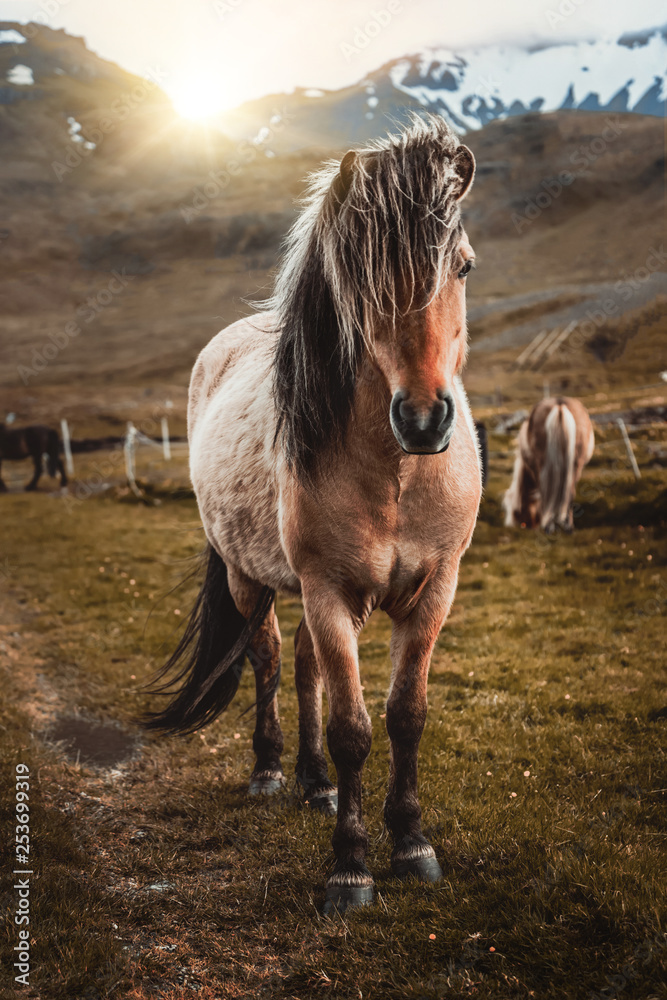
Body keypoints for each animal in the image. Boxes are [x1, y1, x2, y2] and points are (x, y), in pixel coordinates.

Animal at [145, 113, 486, 912]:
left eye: (462, 267)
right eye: (362, 277)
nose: (423, 418)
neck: (396, 475)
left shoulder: (435, 592)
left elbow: (404, 715)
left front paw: (411, 842)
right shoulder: (330, 593)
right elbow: (353, 727)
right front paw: (351, 867)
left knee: (302, 666)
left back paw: (314, 783)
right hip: (251, 578)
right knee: (271, 660)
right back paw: (272, 772)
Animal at [504, 398, 596, 536]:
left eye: (515, 512)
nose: (510, 525)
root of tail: (560, 405)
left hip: (543, 467)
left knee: (546, 493)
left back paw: (549, 526)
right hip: (575, 466)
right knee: (569, 495)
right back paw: (568, 527)